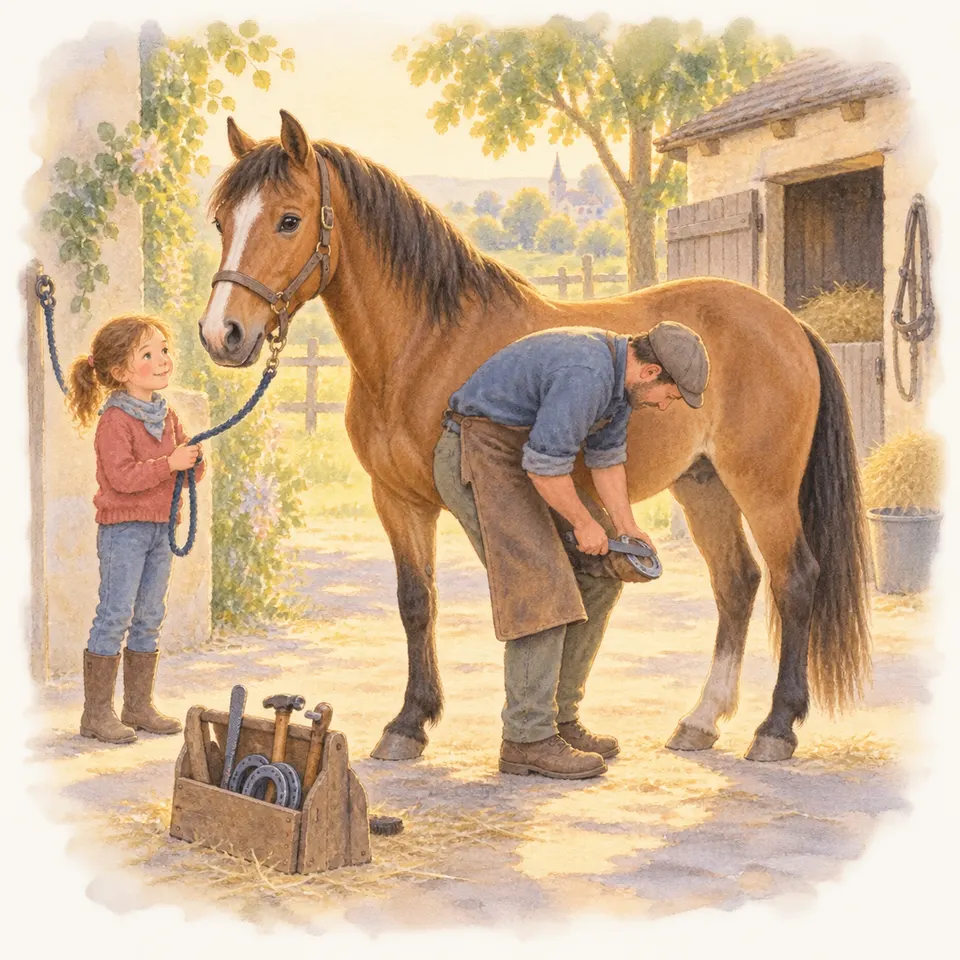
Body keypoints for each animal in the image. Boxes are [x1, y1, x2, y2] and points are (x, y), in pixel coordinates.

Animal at [198, 110, 870, 764]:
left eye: (288, 220)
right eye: (221, 221)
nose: (222, 333)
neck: (424, 346)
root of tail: (790, 324)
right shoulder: (398, 500)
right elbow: (417, 603)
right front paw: (409, 723)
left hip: (764, 489)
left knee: (794, 581)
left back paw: (775, 729)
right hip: (703, 485)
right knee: (737, 584)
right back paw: (700, 721)